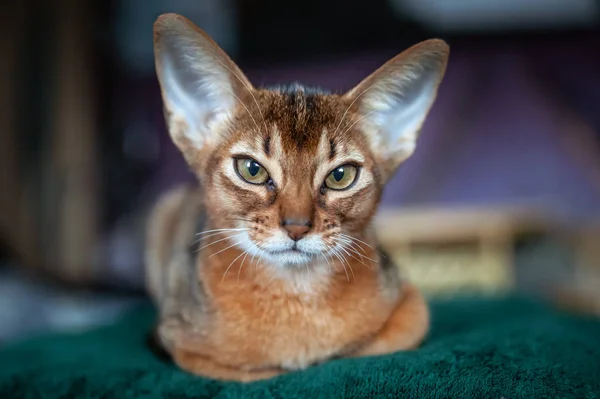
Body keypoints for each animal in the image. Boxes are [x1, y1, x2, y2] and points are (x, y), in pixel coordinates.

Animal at [144, 11, 446, 382]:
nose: (297, 227)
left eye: (341, 176)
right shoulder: (178, 340)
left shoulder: (412, 307)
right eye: (251, 170)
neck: (297, 296)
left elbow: (368, 348)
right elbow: (254, 372)